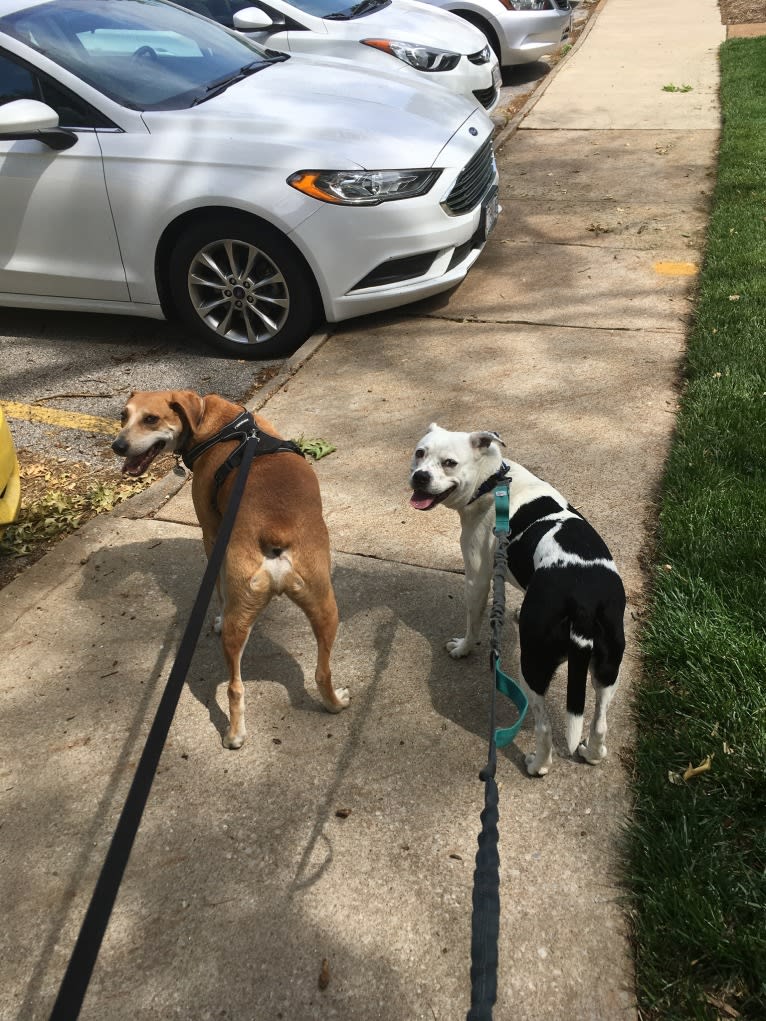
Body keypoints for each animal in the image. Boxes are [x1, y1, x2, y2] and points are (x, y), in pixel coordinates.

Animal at [110, 385, 347, 747]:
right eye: (123, 415)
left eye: (150, 419)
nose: (118, 446)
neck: (218, 422)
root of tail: (276, 533)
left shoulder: (211, 533)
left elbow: (218, 588)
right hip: (325, 606)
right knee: (323, 672)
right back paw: (335, 704)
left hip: (241, 619)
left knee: (235, 687)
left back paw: (234, 735)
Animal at [410, 422, 625, 771]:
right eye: (420, 453)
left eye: (449, 463)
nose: (419, 477)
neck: (493, 481)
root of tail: (583, 603)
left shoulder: (477, 578)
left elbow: (472, 623)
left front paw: (462, 648)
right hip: (608, 668)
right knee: (599, 723)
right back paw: (591, 754)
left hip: (532, 667)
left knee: (544, 726)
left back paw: (538, 764)